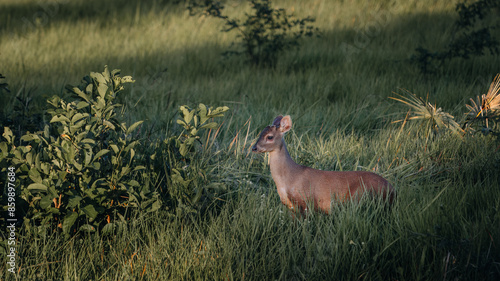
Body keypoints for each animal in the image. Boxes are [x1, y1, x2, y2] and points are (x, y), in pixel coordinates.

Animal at [252, 115, 396, 213]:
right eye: (260, 133)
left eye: (270, 137)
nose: (254, 147)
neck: (288, 179)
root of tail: (392, 189)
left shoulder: (306, 201)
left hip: (360, 195)